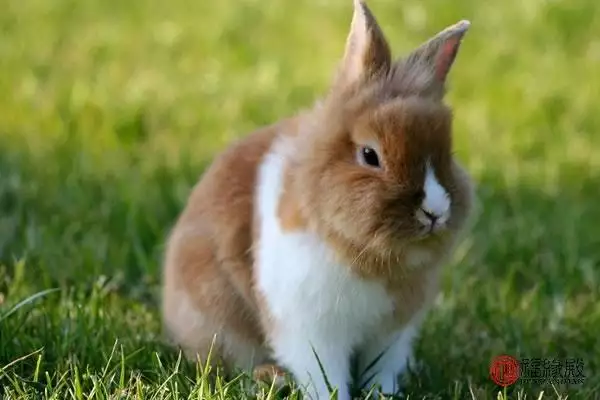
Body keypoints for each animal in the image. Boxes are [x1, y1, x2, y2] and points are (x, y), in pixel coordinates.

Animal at [162, 1, 476, 398]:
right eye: (370, 155)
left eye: (447, 154)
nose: (435, 212)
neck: (369, 255)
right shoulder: (310, 330)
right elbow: (325, 374)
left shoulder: (391, 334)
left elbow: (381, 369)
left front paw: (383, 394)